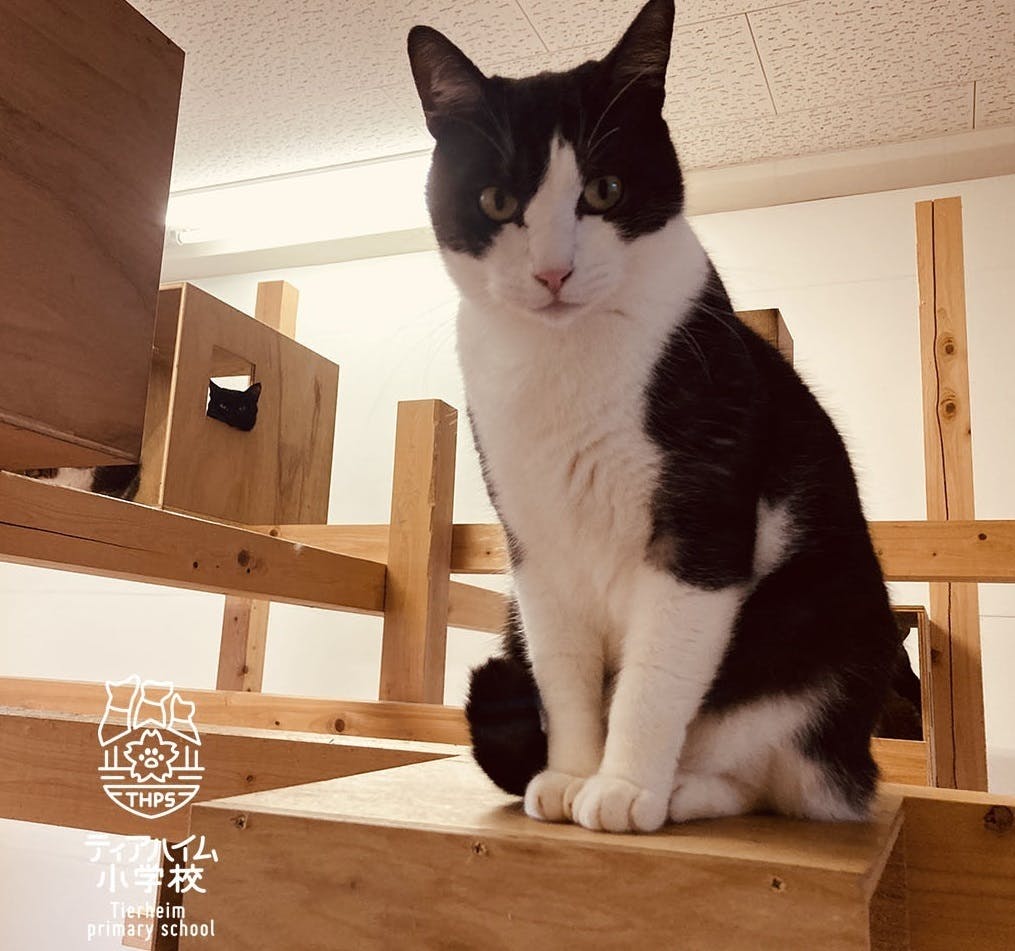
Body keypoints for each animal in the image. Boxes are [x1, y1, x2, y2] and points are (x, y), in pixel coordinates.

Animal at [408, 0, 899, 833]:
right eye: (498, 203)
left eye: (604, 190)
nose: (553, 270)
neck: (564, 360)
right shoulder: (534, 546)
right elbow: (563, 668)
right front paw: (572, 774)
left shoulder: (702, 515)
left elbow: (657, 672)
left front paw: (622, 786)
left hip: (817, 629)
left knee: (779, 778)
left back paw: (677, 793)